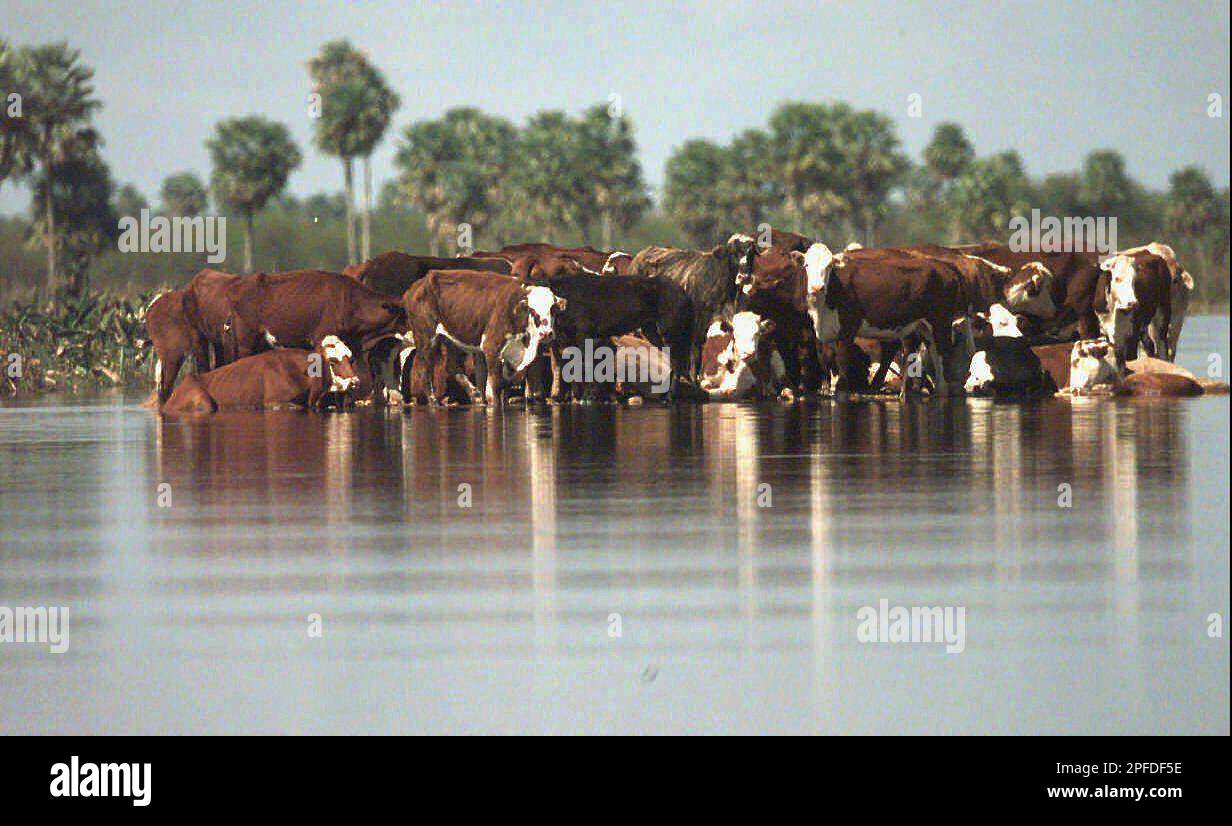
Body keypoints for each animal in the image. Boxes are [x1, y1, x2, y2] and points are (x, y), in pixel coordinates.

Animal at [403, 270, 565, 405]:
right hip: (426, 336)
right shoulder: (491, 348)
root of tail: (419, 284)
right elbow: (496, 385)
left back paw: (476, 397)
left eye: (553, 308)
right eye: (532, 310)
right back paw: (433, 401)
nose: (546, 333)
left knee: (451, 366)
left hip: (450, 339)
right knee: (423, 369)